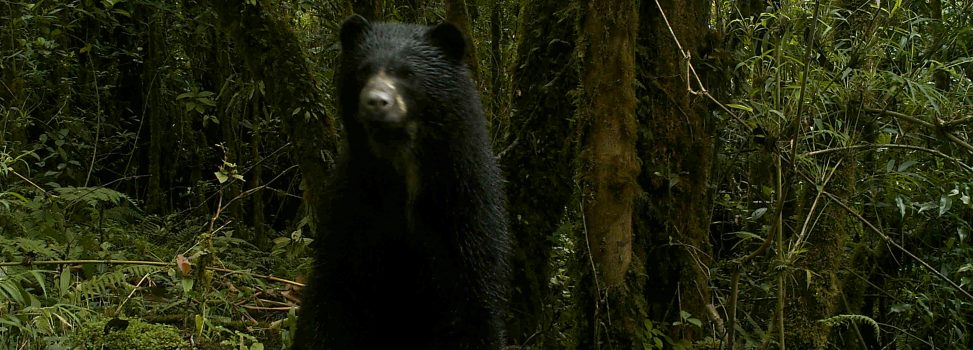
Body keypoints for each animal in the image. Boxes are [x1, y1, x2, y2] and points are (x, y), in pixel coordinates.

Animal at [292, 15, 508, 348]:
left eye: (408, 73)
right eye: (364, 69)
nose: (375, 102)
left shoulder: (464, 210)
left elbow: (473, 306)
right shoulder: (353, 211)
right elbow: (332, 299)